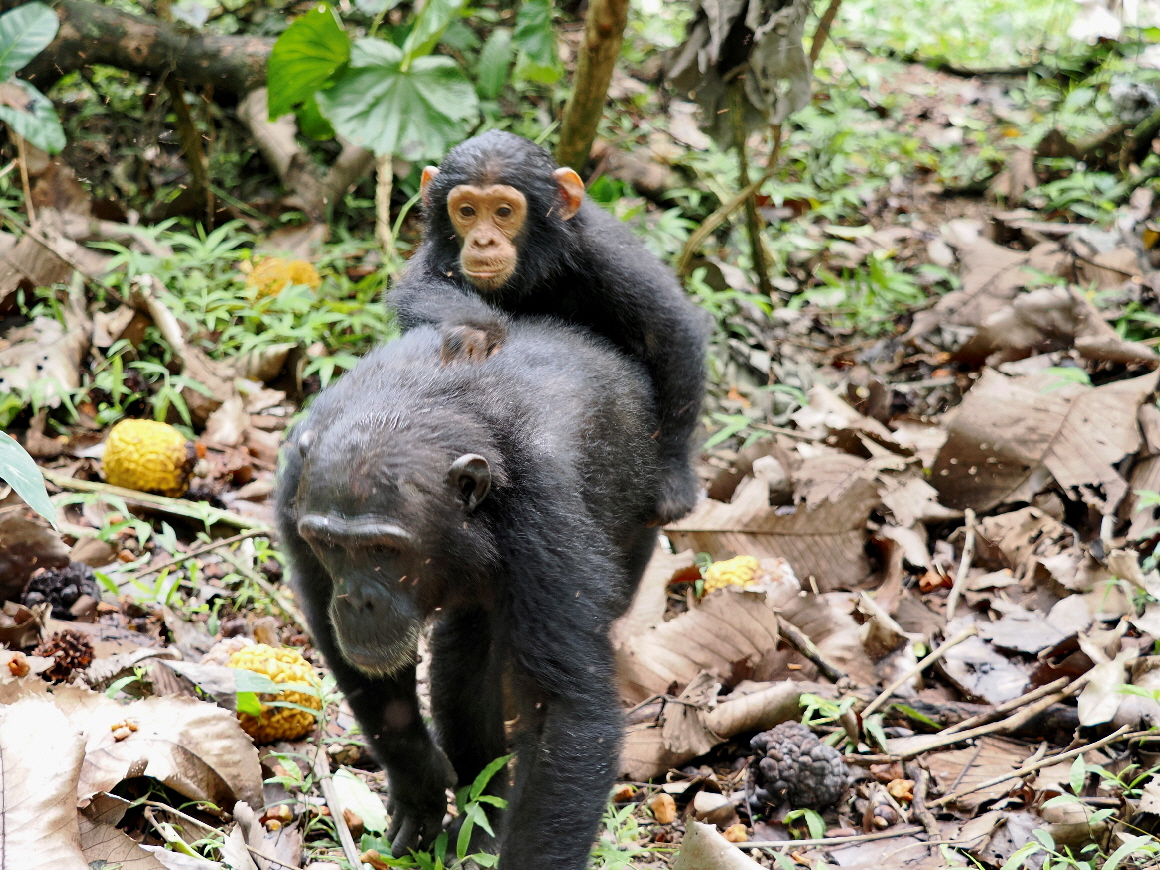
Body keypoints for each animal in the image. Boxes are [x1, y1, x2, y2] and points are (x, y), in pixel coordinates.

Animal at [276, 317, 663, 867]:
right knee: (464, 657)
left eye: (383, 549)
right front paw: (419, 786)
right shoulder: (296, 488)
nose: (356, 601)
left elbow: (564, 712)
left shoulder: (546, 519)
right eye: (329, 544)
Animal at [389, 129, 705, 524]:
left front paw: (673, 479)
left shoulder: (608, 253)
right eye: (466, 211)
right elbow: (417, 288)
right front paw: (475, 328)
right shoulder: (438, 254)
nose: (482, 241)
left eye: (504, 212)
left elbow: (669, 330)